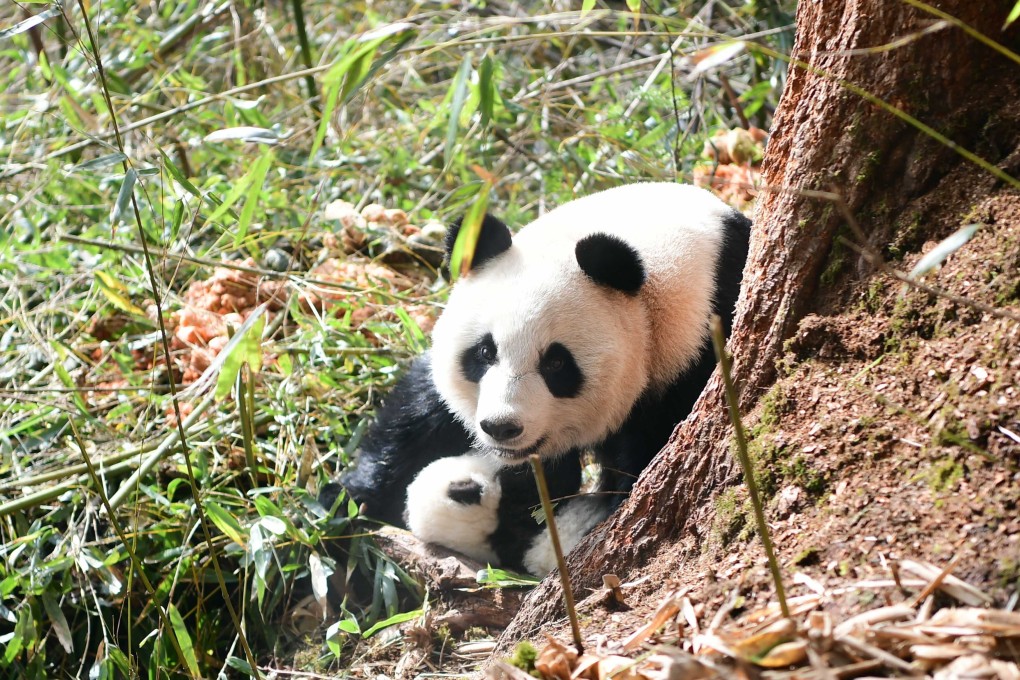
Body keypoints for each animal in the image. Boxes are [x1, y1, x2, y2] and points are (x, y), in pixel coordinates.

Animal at [335, 182, 751, 575]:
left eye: (556, 364)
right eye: (484, 352)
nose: (501, 427)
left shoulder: (695, 349)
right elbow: (421, 413)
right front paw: (346, 502)